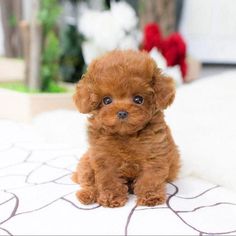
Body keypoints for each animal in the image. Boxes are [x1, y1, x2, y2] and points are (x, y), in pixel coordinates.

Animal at [72, 49, 179, 206]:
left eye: (138, 99)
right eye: (107, 100)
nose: (122, 112)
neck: (126, 135)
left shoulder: (154, 155)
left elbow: (150, 178)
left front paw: (151, 196)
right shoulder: (104, 159)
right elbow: (108, 180)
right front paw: (112, 198)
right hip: (86, 162)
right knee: (87, 181)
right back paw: (87, 194)